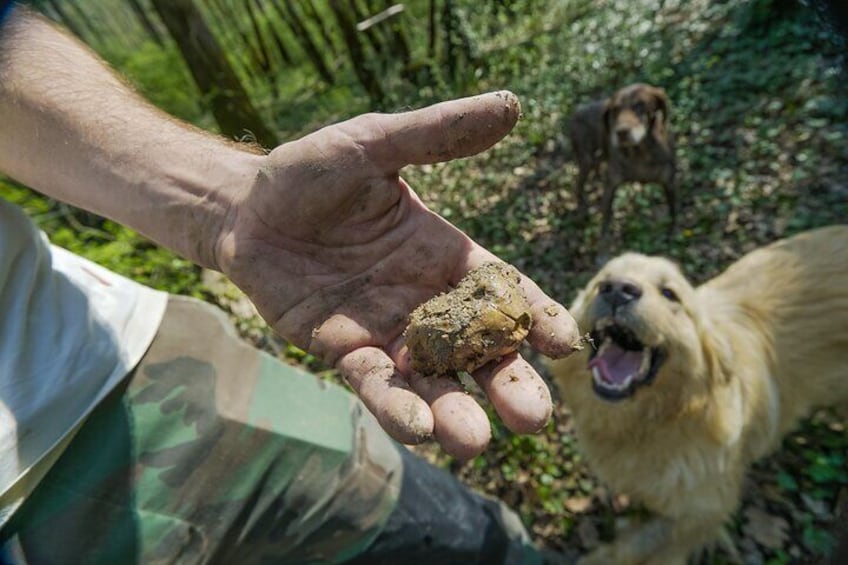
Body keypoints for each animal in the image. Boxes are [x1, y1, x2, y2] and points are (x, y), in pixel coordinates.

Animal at [568, 82, 680, 237]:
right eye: (615, 109)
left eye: (640, 105)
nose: (621, 132)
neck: (640, 154)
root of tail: (578, 109)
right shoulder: (611, 186)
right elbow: (605, 220)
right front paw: (604, 242)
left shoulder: (669, 182)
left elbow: (673, 211)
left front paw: (673, 231)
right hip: (585, 158)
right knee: (579, 184)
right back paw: (582, 207)